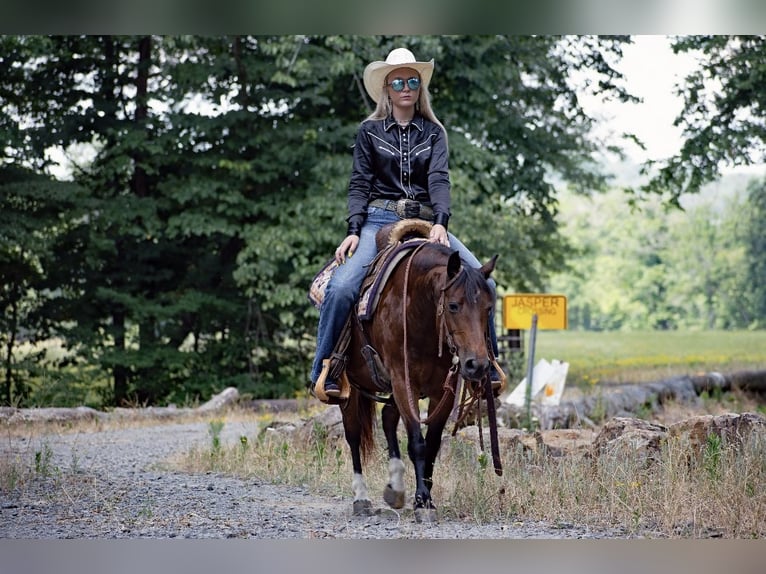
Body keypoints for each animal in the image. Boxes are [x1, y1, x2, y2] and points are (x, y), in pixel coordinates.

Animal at [335, 220, 502, 522]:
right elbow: (417, 442)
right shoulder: (403, 380)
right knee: (353, 434)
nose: (478, 365)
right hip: (350, 388)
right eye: (453, 305)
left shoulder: (444, 389)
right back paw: (361, 498)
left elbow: (432, 444)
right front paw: (422, 501)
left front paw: (426, 499)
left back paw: (395, 488)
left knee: (388, 418)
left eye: (488, 308)